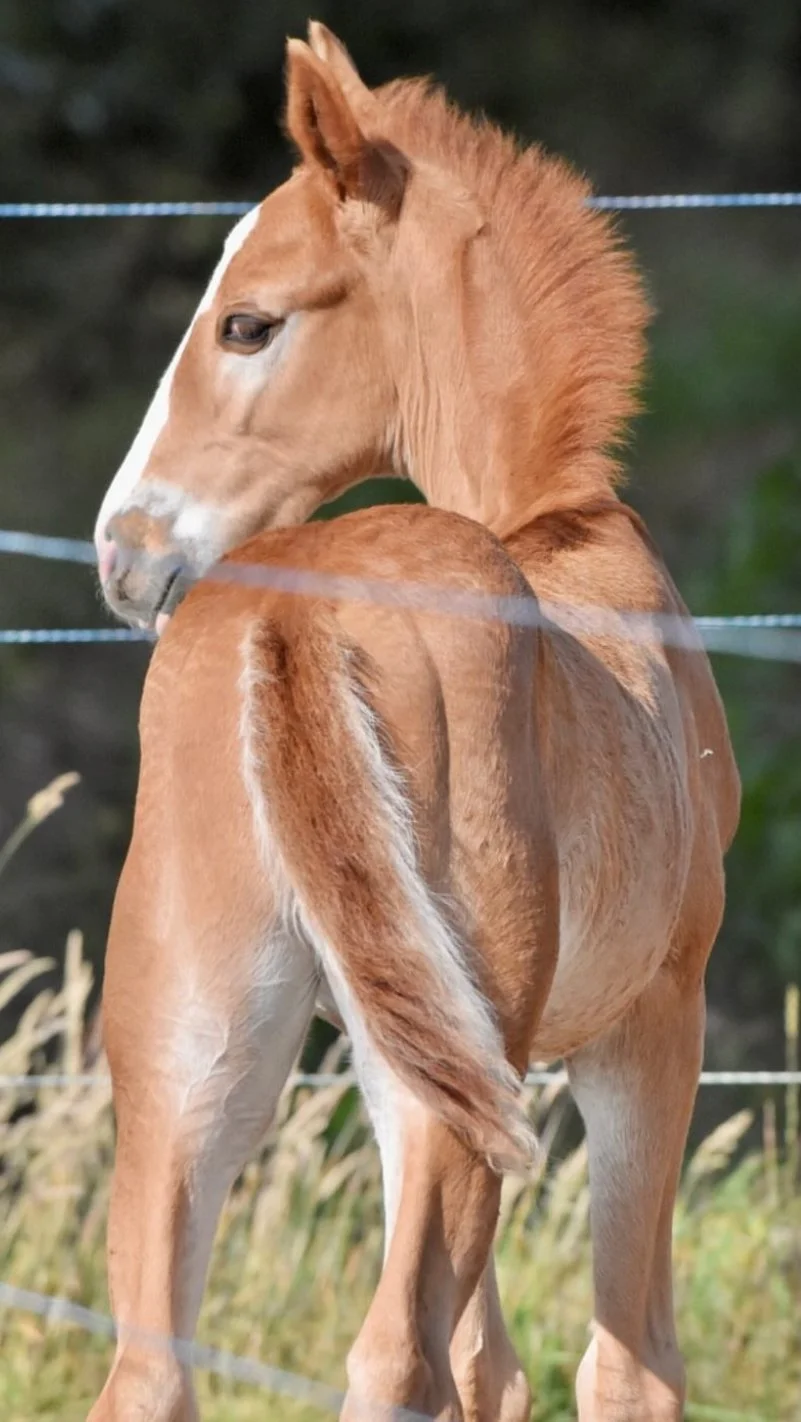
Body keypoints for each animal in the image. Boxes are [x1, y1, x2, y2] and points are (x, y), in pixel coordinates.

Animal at [89, 23, 740, 1422]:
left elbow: (494, 1368)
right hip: (455, 1076)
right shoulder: (652, 1021)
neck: (557, 526)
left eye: (248, 322)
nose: (123, 551)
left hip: (200, 1061)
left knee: (155, 1366)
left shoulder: (426, 1065)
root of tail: (293, 619)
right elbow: (627, 1361)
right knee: (395, 1351)